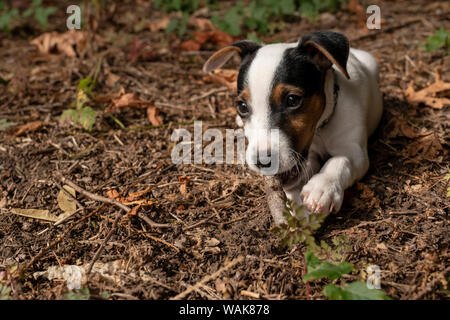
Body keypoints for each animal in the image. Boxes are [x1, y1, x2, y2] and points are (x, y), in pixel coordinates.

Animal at [204, 31, 384, 224]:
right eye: (242, 106)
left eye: (292, 100)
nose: (263, 162)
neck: (321, 130)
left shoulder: (355, 153)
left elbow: (340, 160)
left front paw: (322, 187)